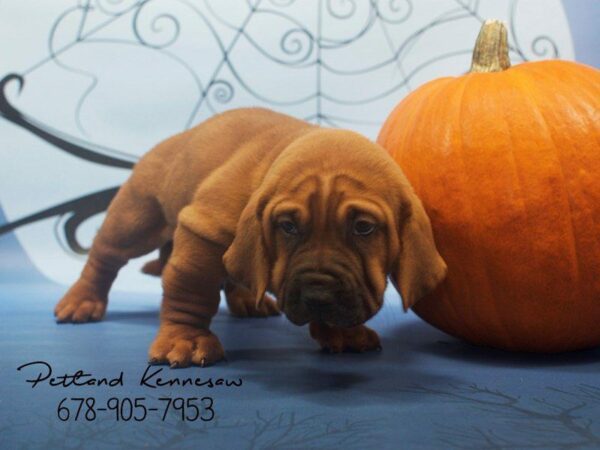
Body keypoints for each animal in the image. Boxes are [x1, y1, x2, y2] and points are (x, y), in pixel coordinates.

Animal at [54, 107, 446, 368]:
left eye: (364, 227)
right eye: (287, 226)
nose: (318, 294)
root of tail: (175, 139)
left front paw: (342, 332)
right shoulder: (203, 231)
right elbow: (190, 290)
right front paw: (187, 339)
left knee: (236, 270)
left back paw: (247, 300)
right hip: (137, 218)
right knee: (105, 256)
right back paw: (82, 301)